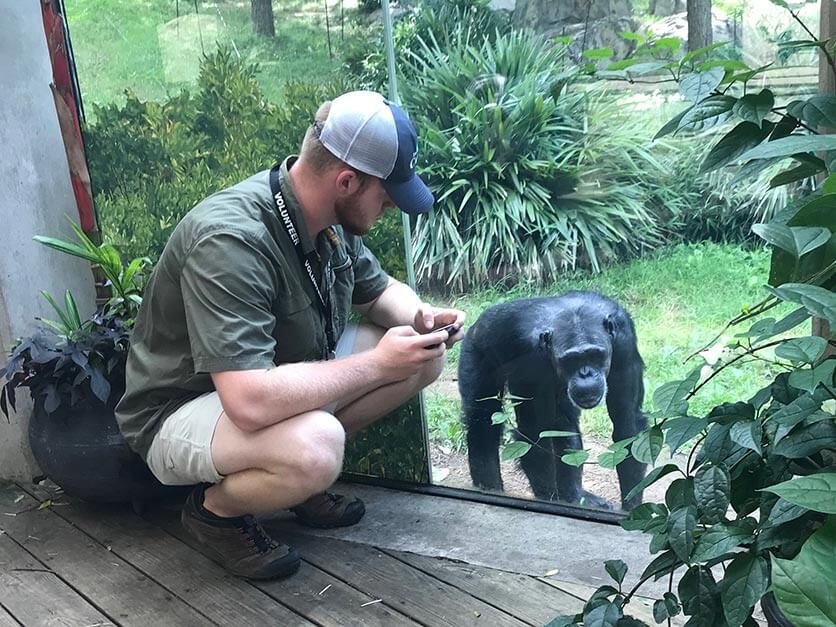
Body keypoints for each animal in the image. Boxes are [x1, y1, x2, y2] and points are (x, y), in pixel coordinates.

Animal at [458, 290, 648, 510]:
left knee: (564, 423)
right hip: (475, 351)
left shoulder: (624, 343)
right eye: (571, 360)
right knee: (482, 419)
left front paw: (631, 507)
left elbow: (627, 423)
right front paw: (549, 500)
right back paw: (489, 487)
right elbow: (535, 431)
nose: (585, 373)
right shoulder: (528, 356)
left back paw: (574, 495)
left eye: (595, 355)